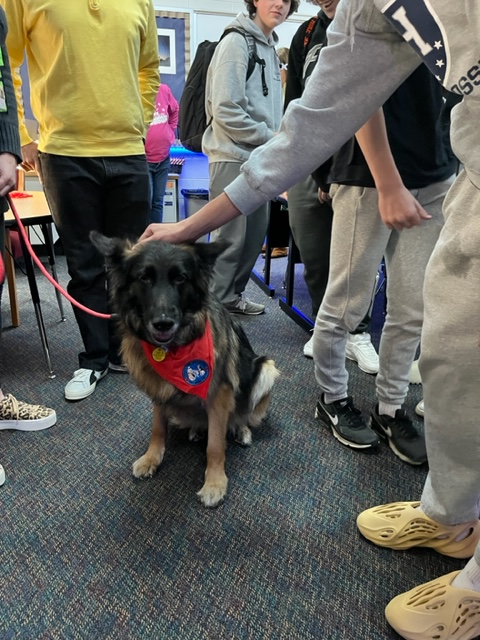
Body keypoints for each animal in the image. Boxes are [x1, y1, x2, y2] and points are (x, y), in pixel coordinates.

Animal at [90, 232, 280, 508]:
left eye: (180, 278)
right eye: (144, 278)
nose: (163, 323)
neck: (173, 349)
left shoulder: (219, 393)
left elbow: (215, 445)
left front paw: (214, 483)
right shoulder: (158, 389)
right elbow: (158, 427)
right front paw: (152, 457)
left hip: (266, 368)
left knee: (243, 414)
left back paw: (241, 430)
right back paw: (197, 429)